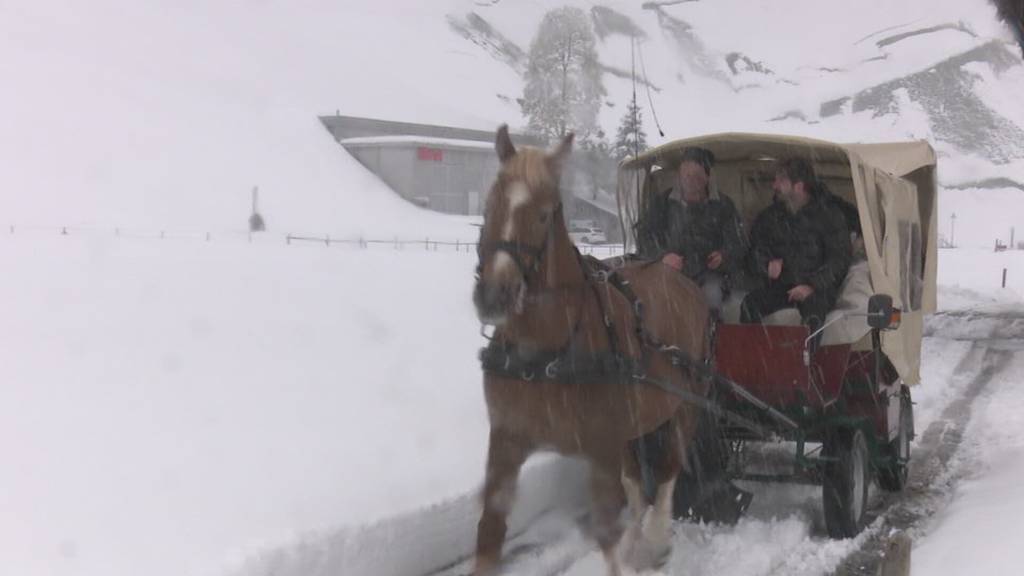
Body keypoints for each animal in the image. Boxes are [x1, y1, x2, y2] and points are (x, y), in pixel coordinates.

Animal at [471, 126, 712, 573]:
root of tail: (678, 274)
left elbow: (606, 530)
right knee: (636, 479)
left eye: (544, 214)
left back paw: (655, 540)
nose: (494, 296)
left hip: (686, 403)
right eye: (491, 202)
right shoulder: (506, 439)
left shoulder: (601, 445)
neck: (544, 352)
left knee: (669, 469)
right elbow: (490, 532)